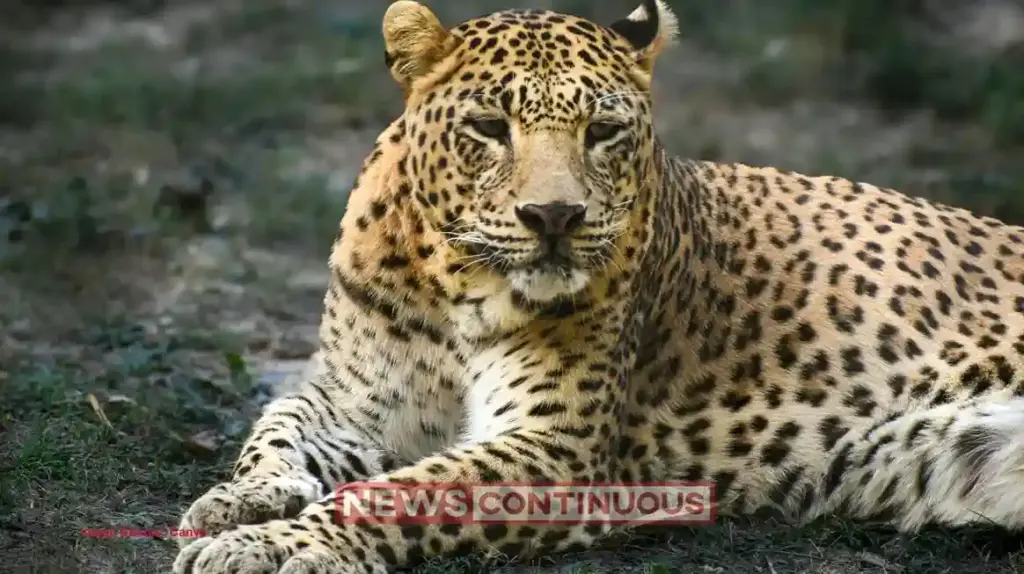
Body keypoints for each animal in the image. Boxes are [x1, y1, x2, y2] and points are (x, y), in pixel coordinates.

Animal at [172, 1, 1024, 572]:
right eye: (489, 128)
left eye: (603, 132)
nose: (553, 216)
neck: (452, 286)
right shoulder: (357, 399)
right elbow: (278, 422)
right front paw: (239, 500)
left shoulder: (558, 449)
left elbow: (399, 492)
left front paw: (274, 544)